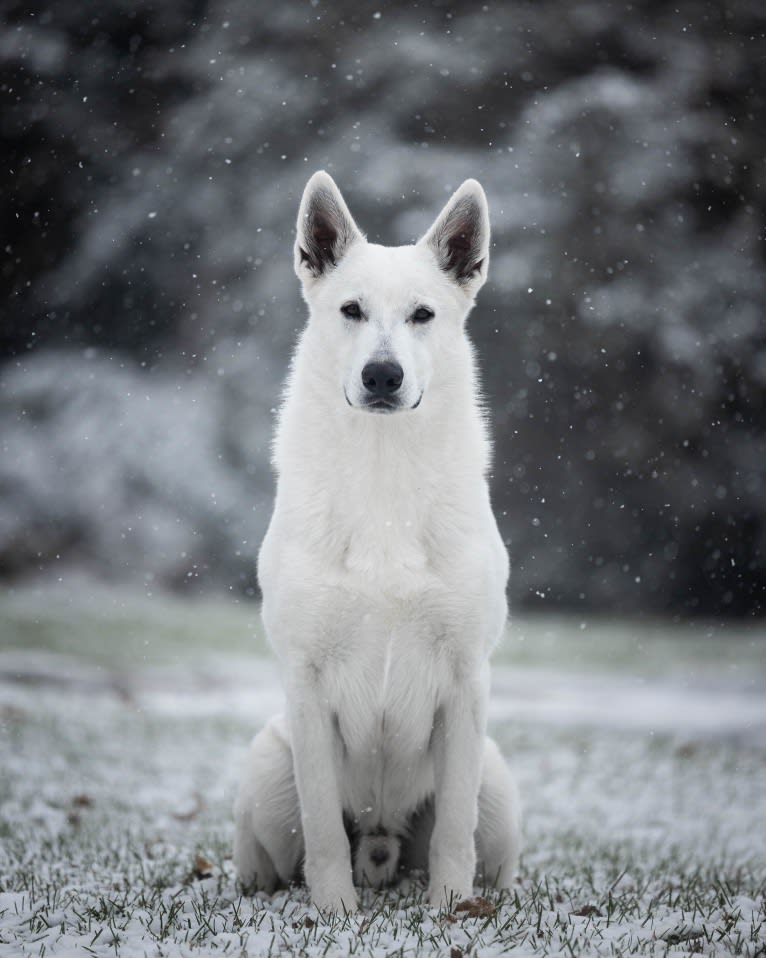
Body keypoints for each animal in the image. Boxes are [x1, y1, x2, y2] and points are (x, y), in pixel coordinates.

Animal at [234, 172, 520, 916]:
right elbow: (323, 829)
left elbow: (452, 830)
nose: (383, 376)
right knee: (273, 859)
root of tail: (384, 840)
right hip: (268, 763)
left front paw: (450, 913)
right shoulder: (305, 685)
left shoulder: (467, 682)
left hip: (496, 782)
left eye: (422, 314)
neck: (385, 473)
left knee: (486, 852)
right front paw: (334, 912)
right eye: (351, 310)